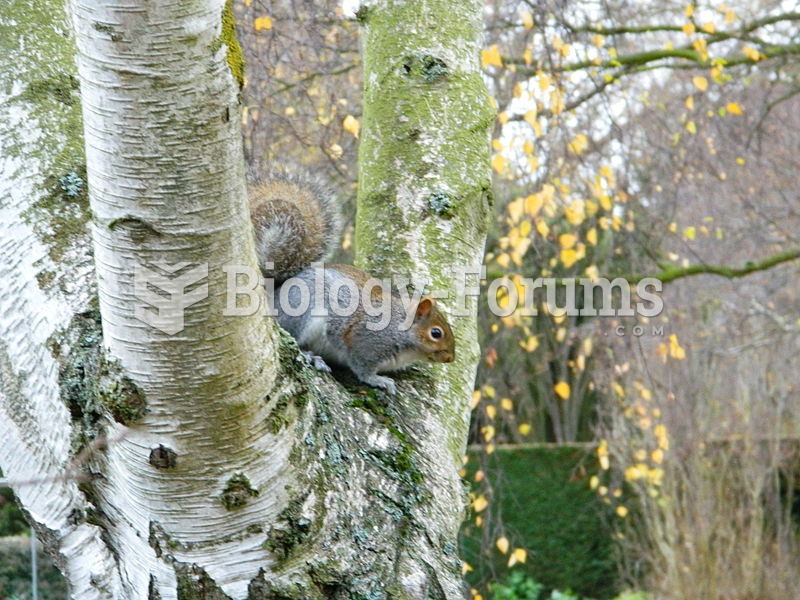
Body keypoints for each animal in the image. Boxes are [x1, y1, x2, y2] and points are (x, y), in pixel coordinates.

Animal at [248, 169, 456, 394]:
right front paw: (378, 380)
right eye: (436, 333)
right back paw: (311, 356)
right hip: (302, 313)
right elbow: (362, 368)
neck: (400, 329)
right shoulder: (365, 342)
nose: (450, 358)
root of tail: (275, 294)